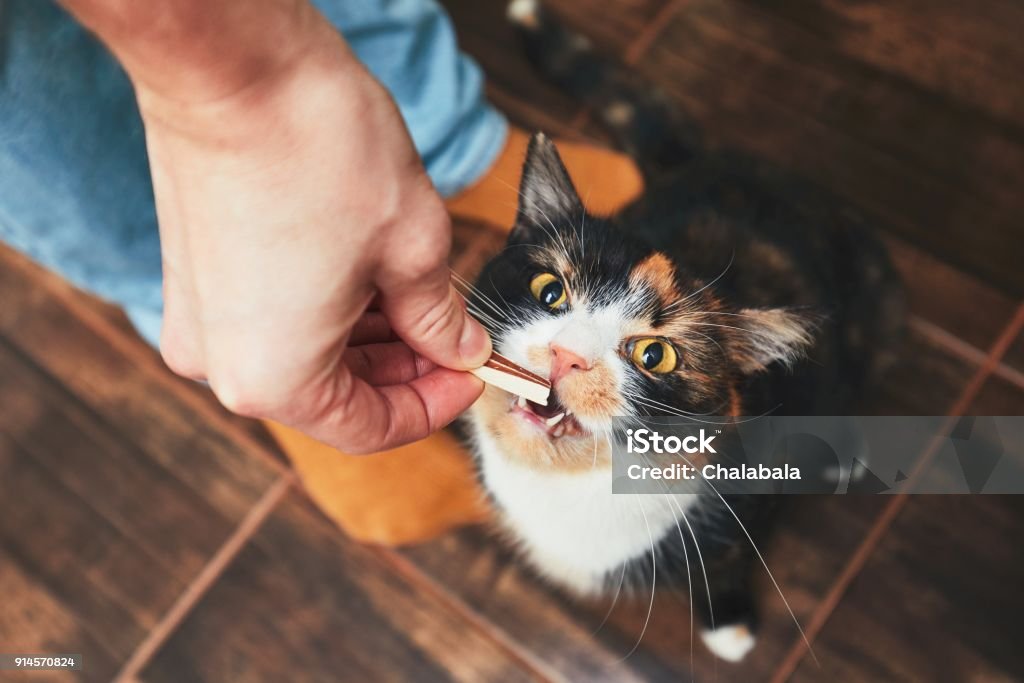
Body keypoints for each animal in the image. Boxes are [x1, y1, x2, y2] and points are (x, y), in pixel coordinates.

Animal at [464, 0, 905, 663]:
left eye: (655, 355)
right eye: (550, 292)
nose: (567, 355)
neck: (568, 489)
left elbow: (728, 558)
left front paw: (731, 624)